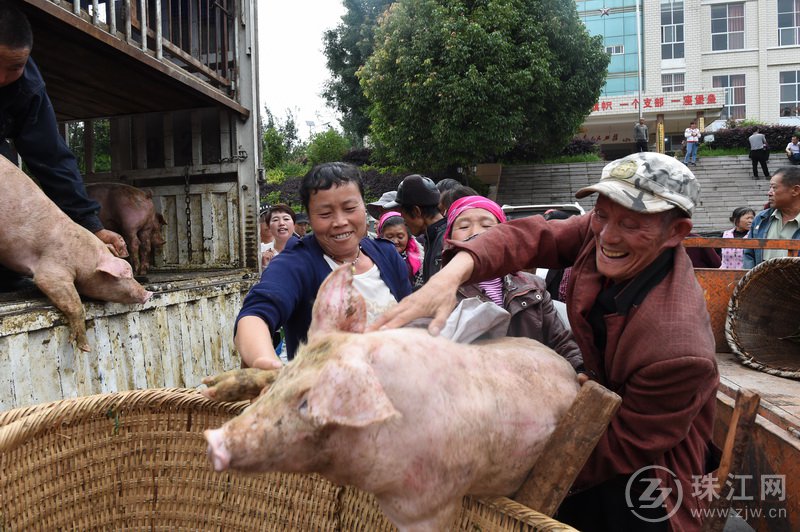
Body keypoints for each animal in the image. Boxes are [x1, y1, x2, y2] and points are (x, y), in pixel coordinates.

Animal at [0, 156, 152, 352]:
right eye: (125, 275)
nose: (149, 294)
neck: (84, 258)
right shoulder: (51, 270)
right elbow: (73, 302)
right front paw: (85, 347)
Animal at [205, 266, 580, 532]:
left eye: (307, 404)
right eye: (287, 379)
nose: (214, 439)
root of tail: (571, 372)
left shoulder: (428, 504)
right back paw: (211, 386)